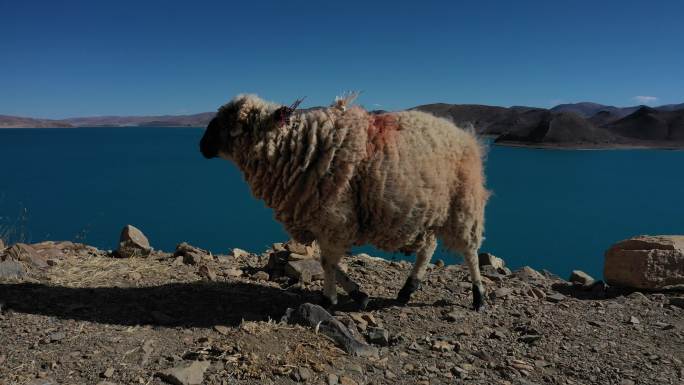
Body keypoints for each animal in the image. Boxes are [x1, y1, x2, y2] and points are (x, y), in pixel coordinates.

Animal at [200, 94, 488, 310]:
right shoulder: (321, 222)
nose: (201, 146)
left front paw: (329, 299)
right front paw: (358, 294)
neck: (298, 148)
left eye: (235, 123)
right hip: (425, 212)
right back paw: (408, 289)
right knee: (428, 246)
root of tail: (463, 133)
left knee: (470, 251)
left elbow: (328, 262)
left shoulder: (336, 219)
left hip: (464, 204)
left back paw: (479, 296)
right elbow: (329, 262)